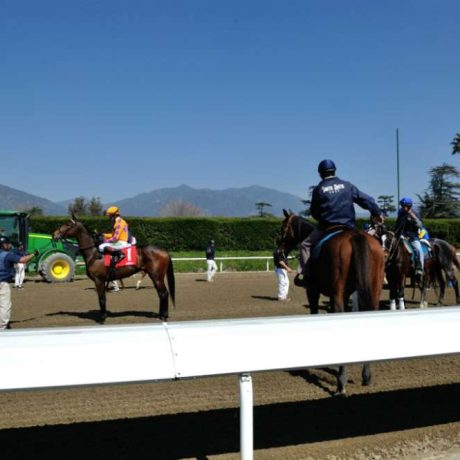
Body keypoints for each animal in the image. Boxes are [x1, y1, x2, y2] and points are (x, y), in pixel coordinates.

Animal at [280, 210, 384, 394]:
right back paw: (366, 375)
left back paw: (341, 382)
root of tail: (356, 236)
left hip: (336, 293)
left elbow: (315, 314)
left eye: (282, 229)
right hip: (372, 292)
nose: (278, 253)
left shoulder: (312, 291)